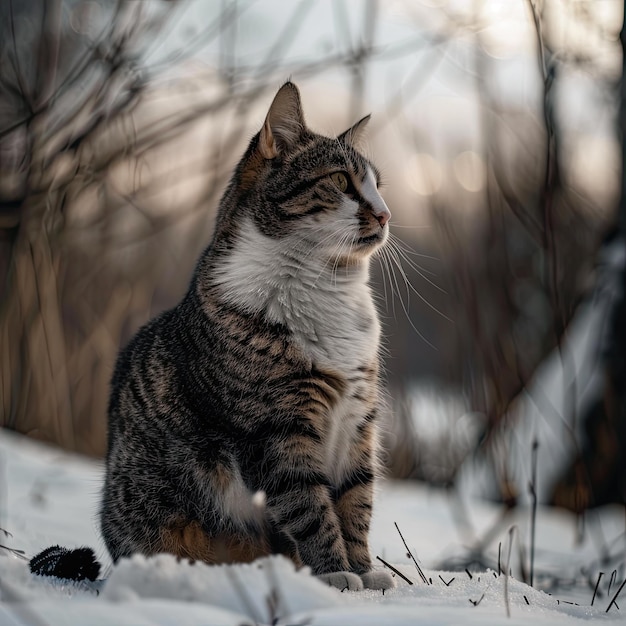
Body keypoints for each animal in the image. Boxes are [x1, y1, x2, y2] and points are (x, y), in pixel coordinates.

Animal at [101, 80, 394, 588]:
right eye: (341, 181)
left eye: (378, 186)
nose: (385, 214)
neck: (327, 290)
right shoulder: (276, 432)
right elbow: (311, 508)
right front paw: (335, 573)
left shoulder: (359, 420)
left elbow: (356, 501)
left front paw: (363, 569)